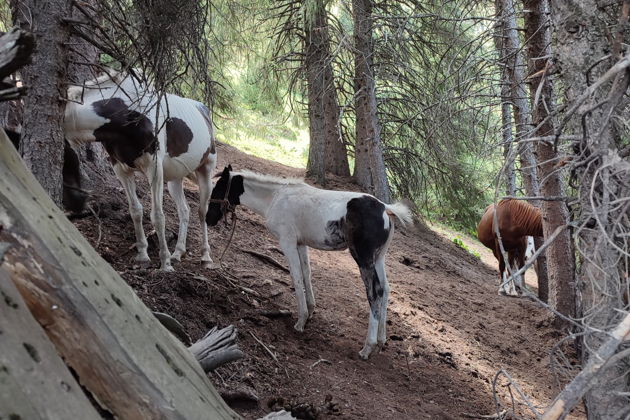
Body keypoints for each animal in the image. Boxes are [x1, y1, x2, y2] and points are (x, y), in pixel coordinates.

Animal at [64, 70, 217, 270]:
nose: (76, 204)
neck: (127, 114)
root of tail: (203, 110)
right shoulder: (121, 169)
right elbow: (135, 210)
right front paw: (143, 254)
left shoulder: (154, 169)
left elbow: (158, 216)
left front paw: (165, 263)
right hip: (175, 179)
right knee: (184, 211)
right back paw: (178, 253)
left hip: (205, 170)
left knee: (202, 212)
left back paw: (206, 256)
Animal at [207, 166, 414, 360]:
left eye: (217, 190)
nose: (209, 219)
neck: (275, 197)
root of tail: (385, 209)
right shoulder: (301, 244)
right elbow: (306, 274)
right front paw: (311, 310)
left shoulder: (287, 242)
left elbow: (296, 276)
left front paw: (301, 321)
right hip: (378, 258)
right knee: (385, 289)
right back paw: (381, 341)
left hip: (363, 259)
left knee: (374, 292)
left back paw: (367, 347)